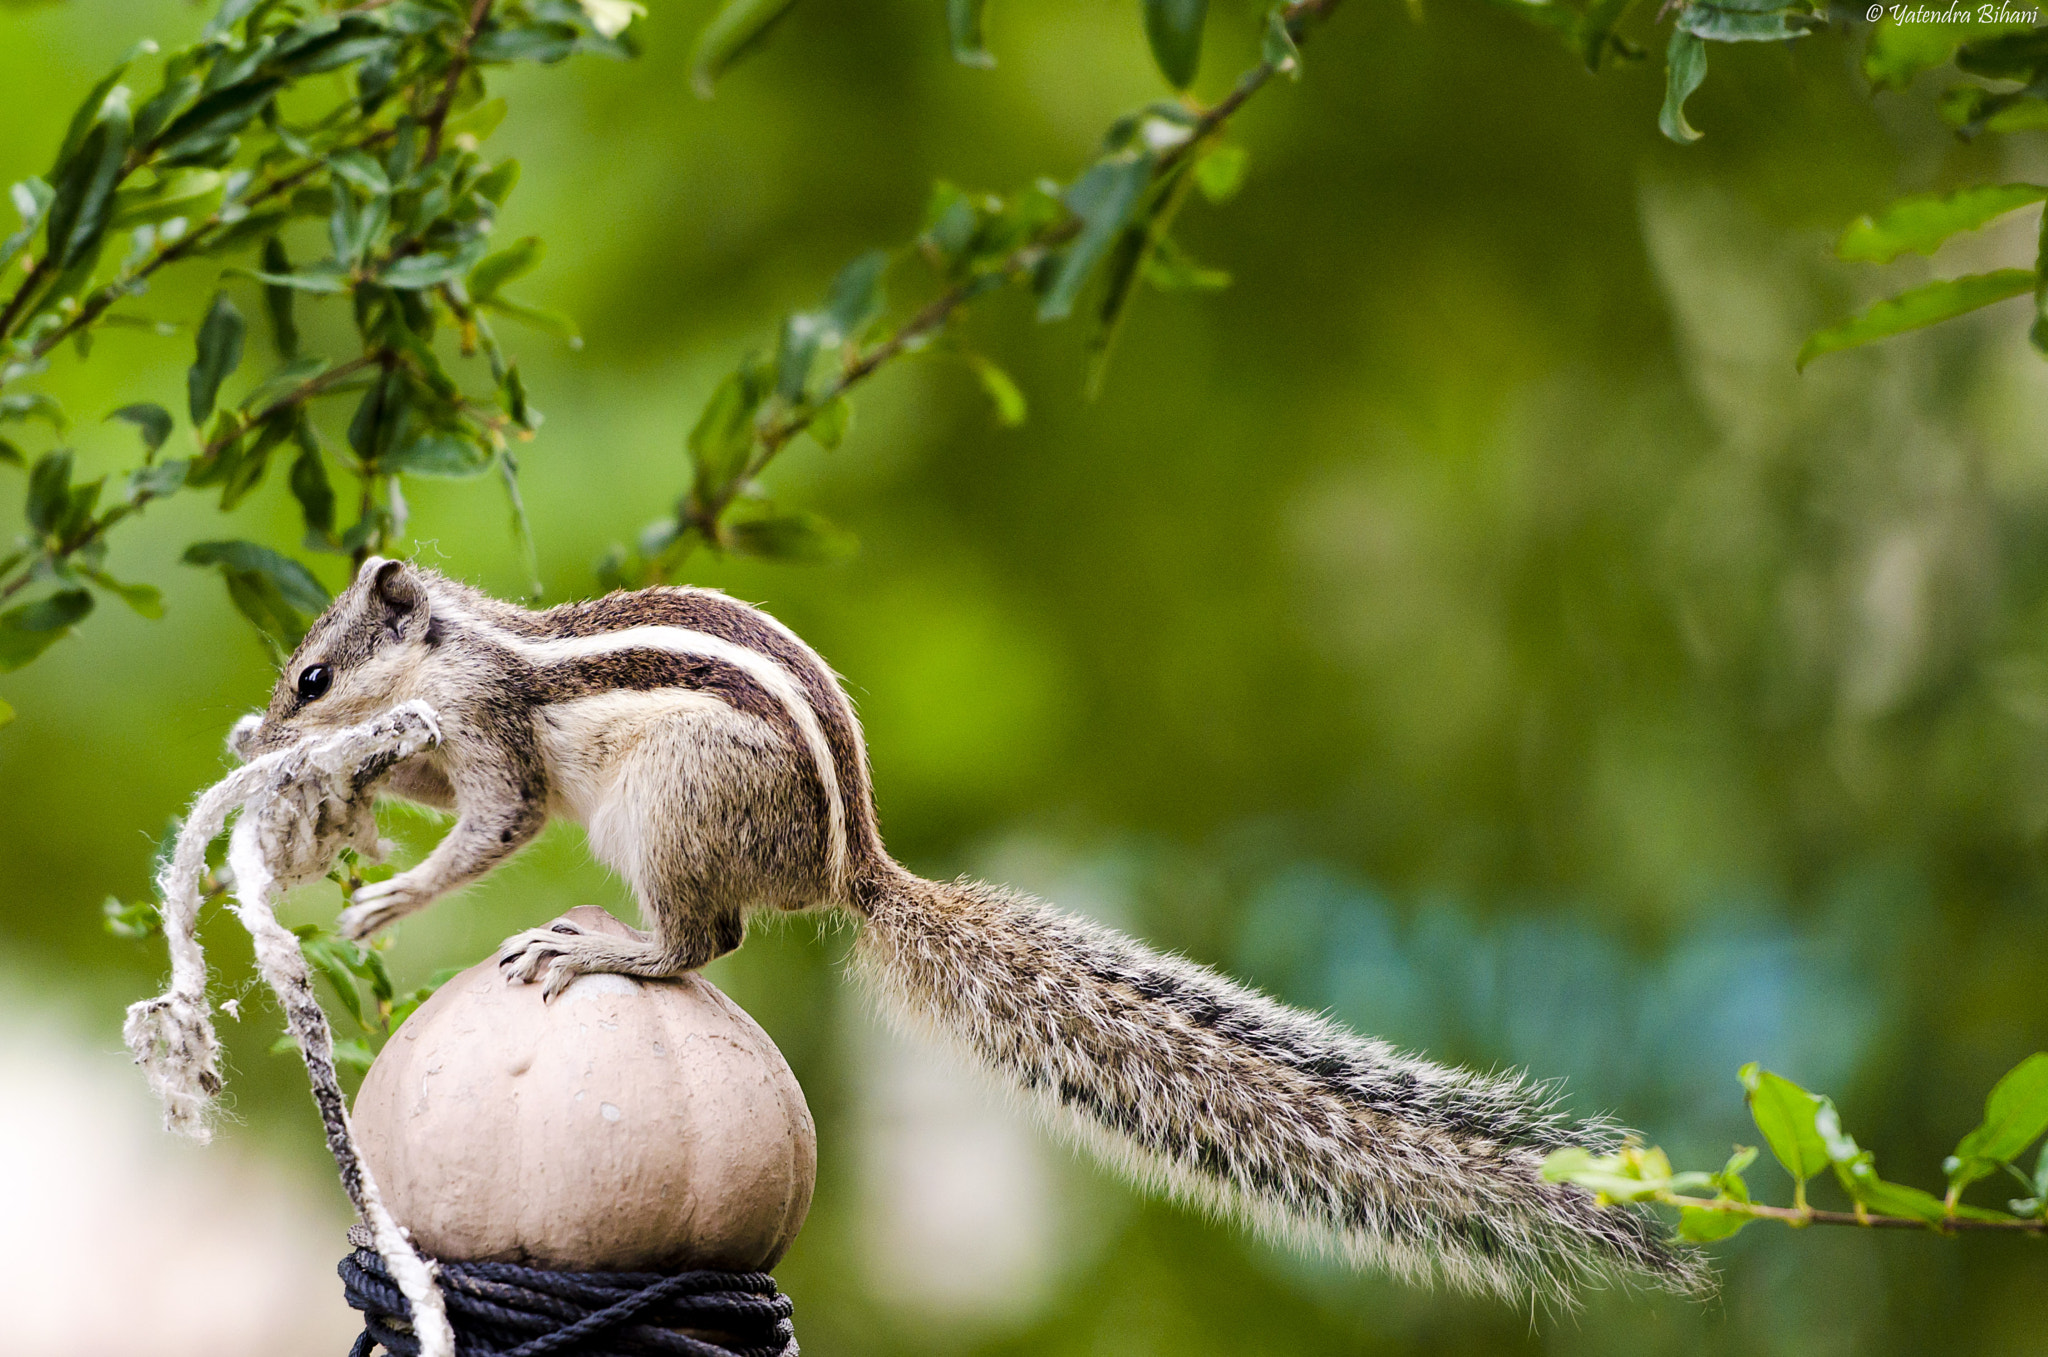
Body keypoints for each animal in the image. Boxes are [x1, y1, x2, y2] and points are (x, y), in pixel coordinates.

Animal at [230, 556, 1705, 1304]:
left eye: (315, 669)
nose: (269, 723)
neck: (472, 644)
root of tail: (854, 869)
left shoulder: (499, 739)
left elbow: (492, 828)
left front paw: (386, 890)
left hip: (675, 810)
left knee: (706, 944)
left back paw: (605, 947)